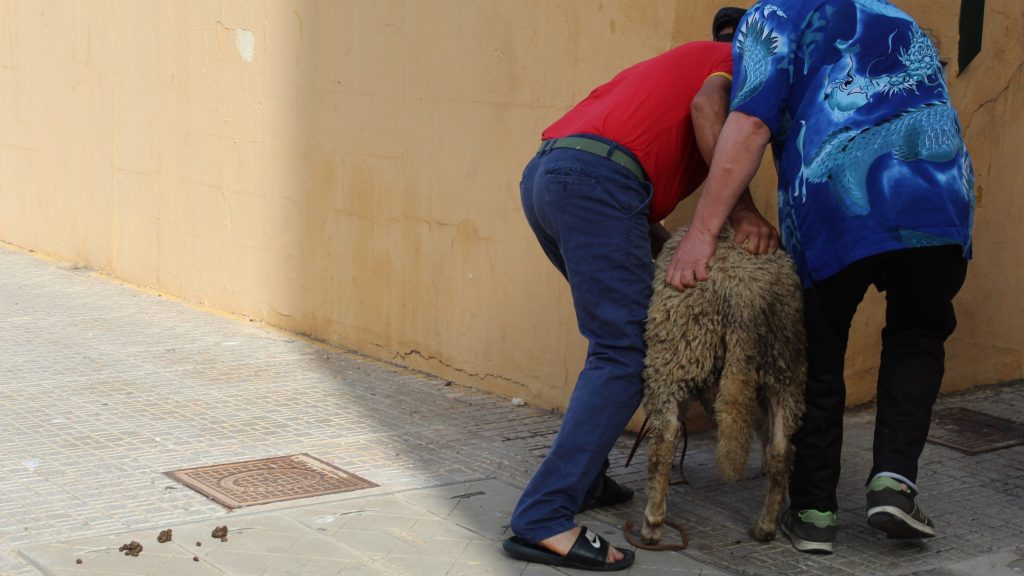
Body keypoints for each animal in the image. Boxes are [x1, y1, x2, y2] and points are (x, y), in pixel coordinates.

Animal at [640, 225, 807, 545]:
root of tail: (747, 293)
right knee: (781, 448)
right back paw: (766, 525)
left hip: (679, 349)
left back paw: (653, 523)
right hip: (783, 365)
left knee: (665, 437)